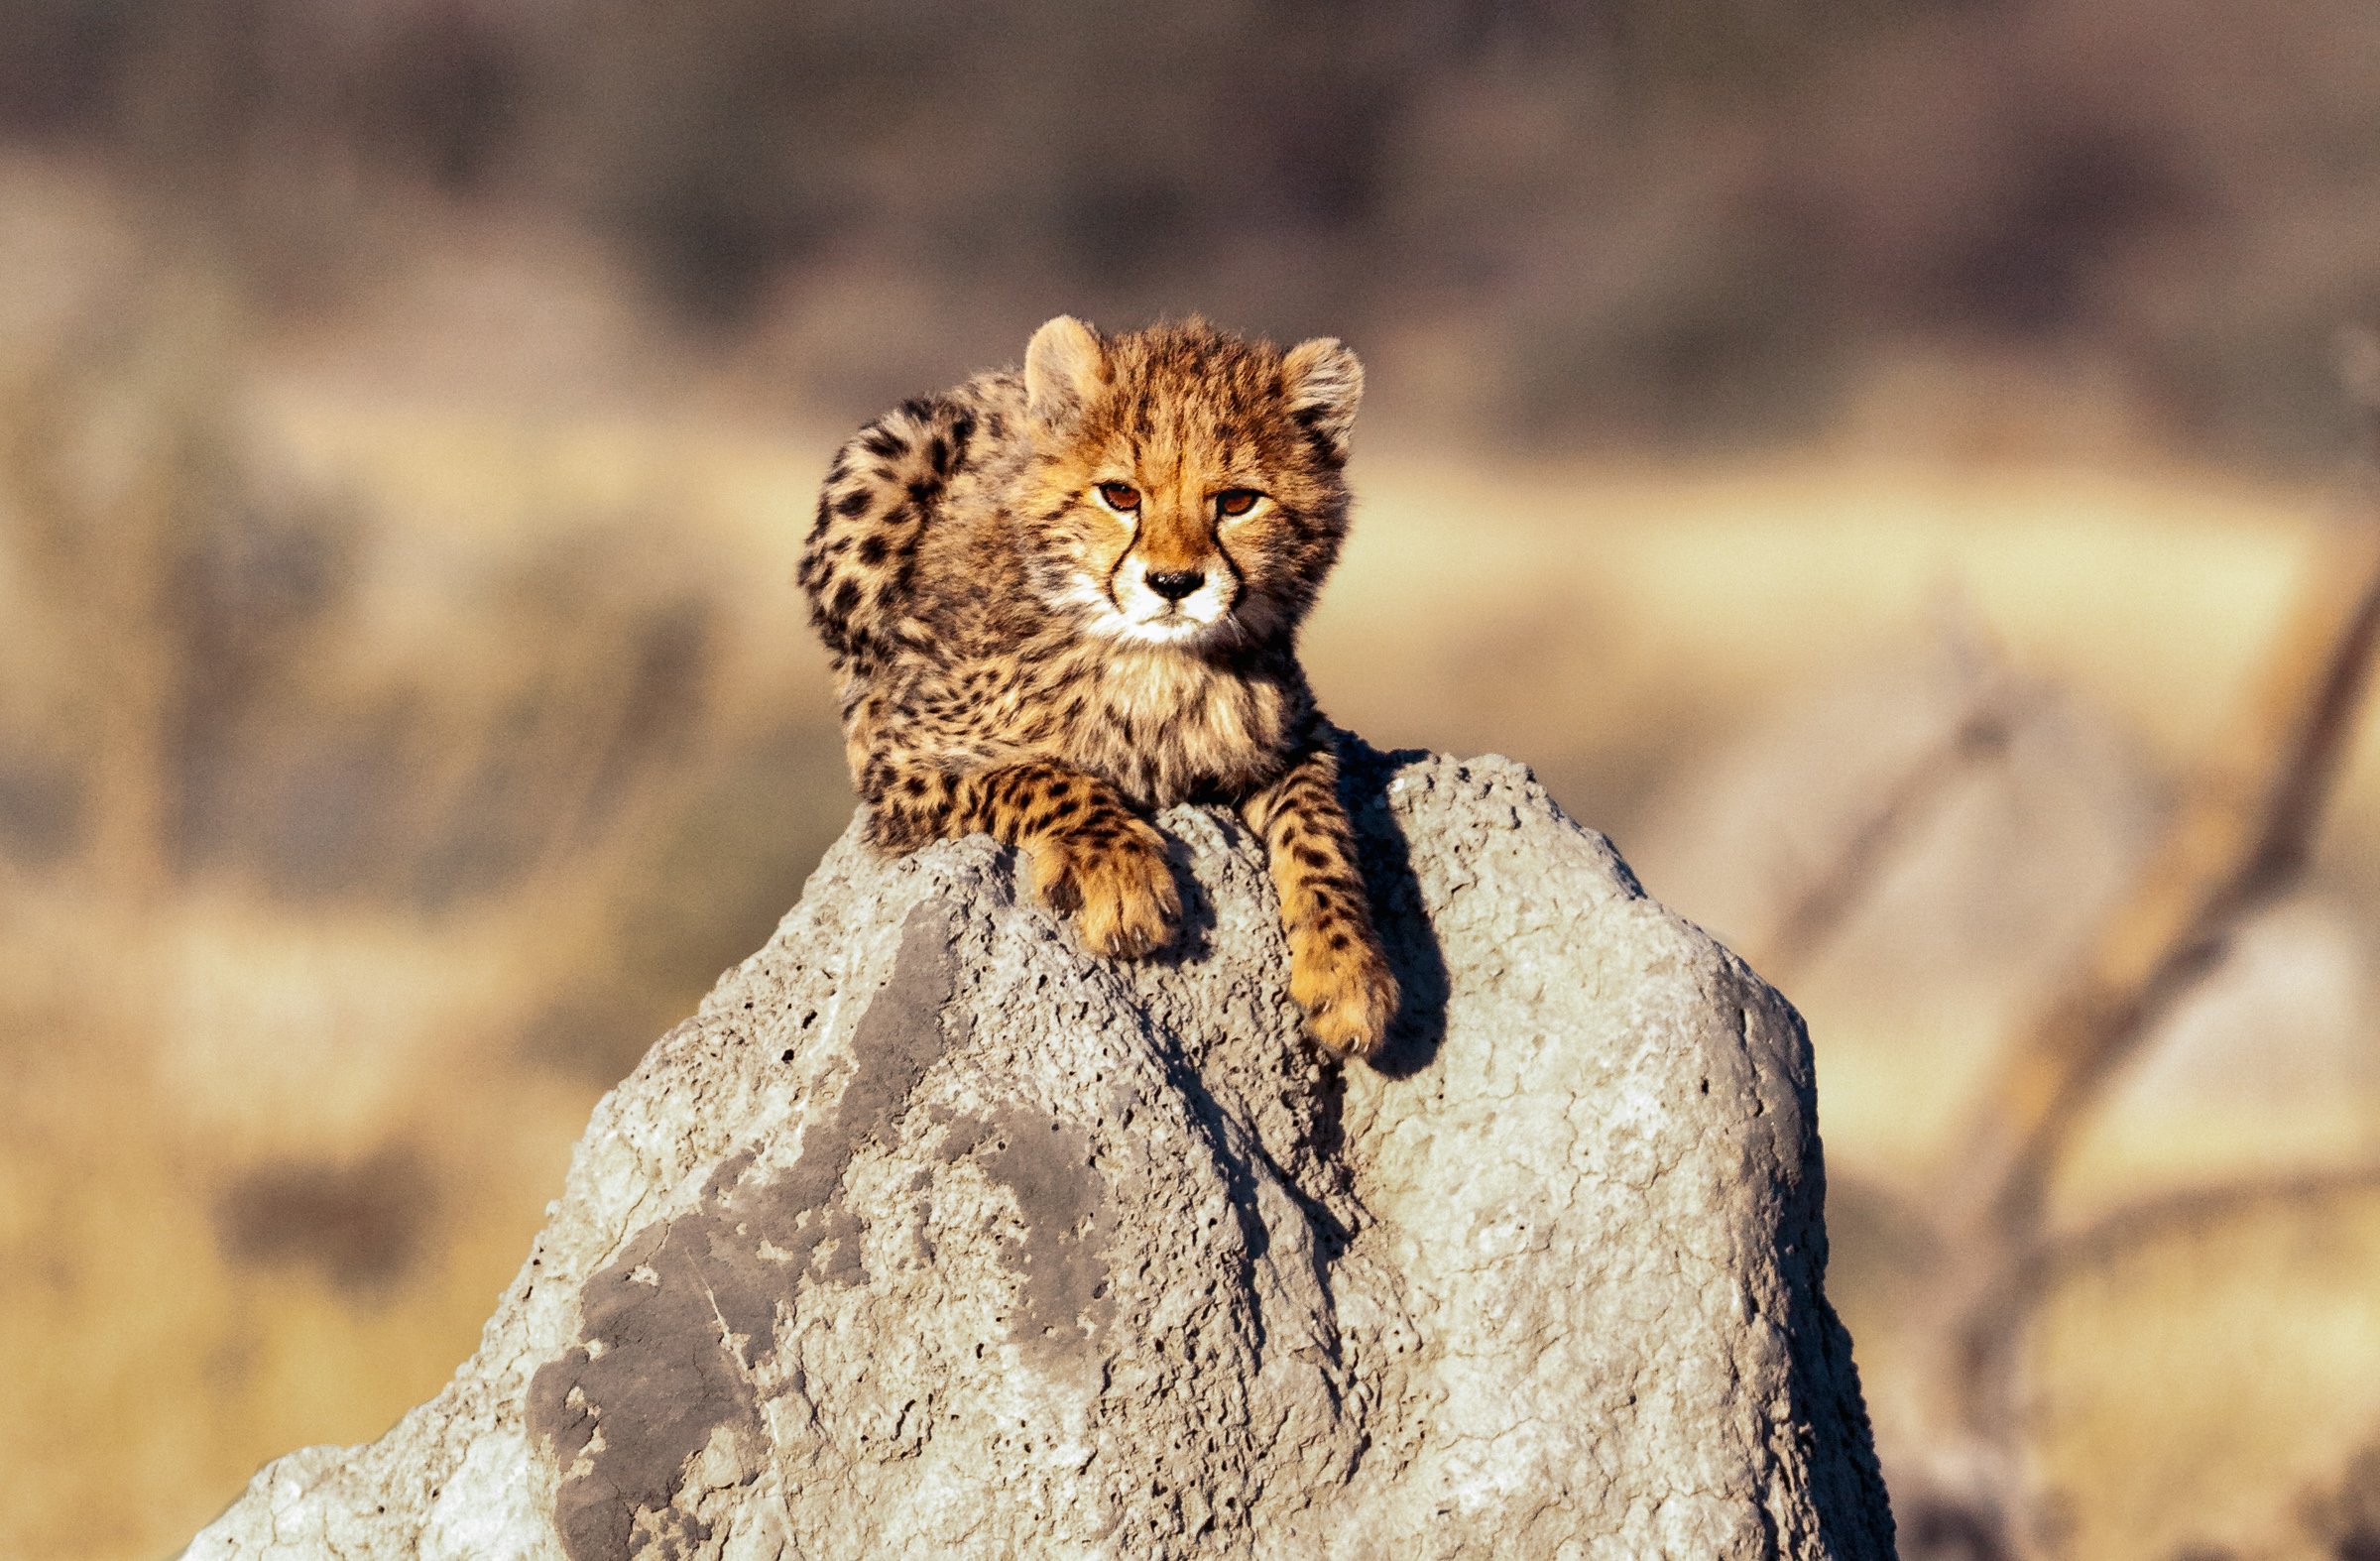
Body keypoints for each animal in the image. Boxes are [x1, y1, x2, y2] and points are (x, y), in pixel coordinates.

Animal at [797, 314, 1399, 1060]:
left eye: (1237, 501)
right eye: (1120, 495)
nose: (1174, 583)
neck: (1154, 664)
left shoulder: (1296, 739)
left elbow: (1321, 836)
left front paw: (1350, 972)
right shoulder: (901, 767)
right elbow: (1043, 774)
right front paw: (1119, 873)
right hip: (889, 457)